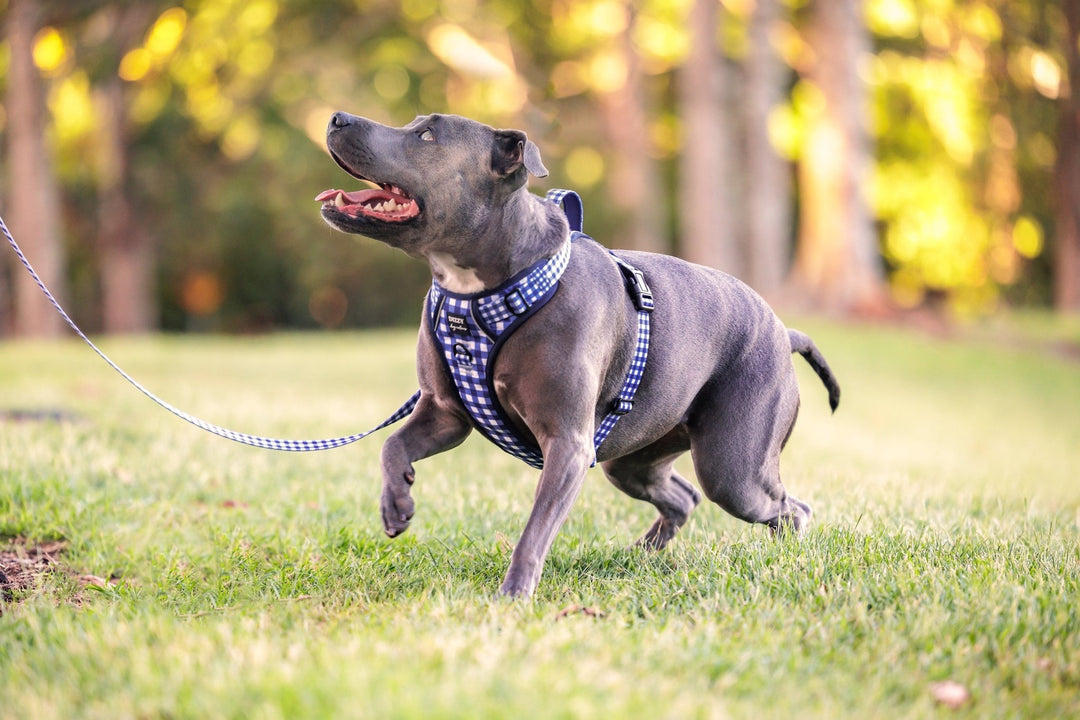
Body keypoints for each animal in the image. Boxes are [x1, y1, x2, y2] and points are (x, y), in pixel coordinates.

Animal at [315, 111, 838, 595]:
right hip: (632, 460)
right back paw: (641, 554)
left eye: (426, 136)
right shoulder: (445, 413)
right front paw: (396, 503)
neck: (482, 290)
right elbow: (391, 444)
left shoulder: (566, 443)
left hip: (733, 468)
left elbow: (535, 530)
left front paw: (513, 595)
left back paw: (788, 554)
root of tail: (784, 332)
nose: (337, 116)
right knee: (683, 496)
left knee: (788, 507)